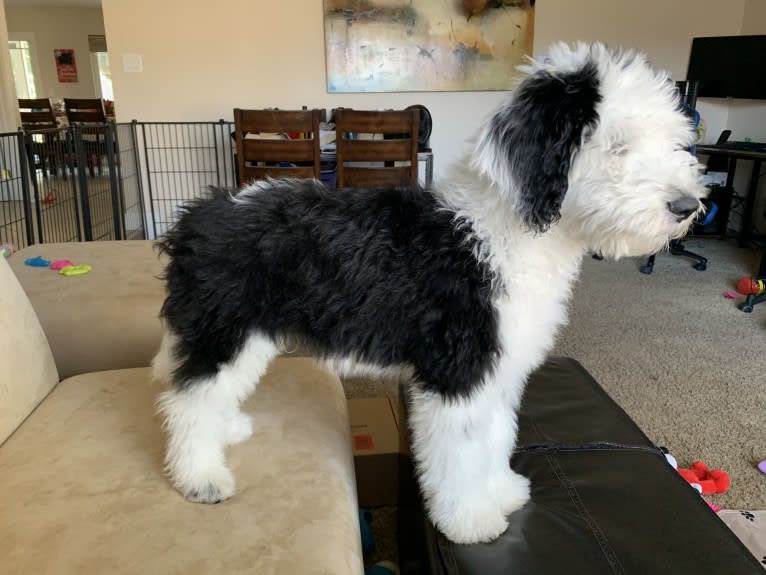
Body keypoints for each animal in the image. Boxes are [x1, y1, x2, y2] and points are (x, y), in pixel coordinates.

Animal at [154, 42, 708, 544]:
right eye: (617, 146)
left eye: (674, 142)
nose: (688, 207)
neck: (502, 232)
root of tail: (196, 215)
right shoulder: (457, 373)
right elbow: (460, 454)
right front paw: (471, 521)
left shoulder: (498, 372)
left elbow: (495, 437)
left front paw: (501, 492)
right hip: (225, 329)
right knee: (188, 400)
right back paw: (200, 477)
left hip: (246, 334)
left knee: (204, 391)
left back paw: (226, 431)